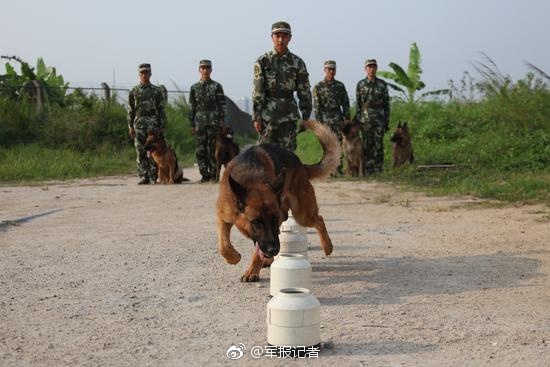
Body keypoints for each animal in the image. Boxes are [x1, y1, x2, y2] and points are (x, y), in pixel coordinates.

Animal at [216, 120, 340, 282]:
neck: (251, 179)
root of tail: (300, 164)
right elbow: (223, 246)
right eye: (256, 222)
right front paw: (234, 257)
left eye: (274, 218)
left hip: (302, 214)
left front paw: (252, 271)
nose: (273, 250)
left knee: (319, 220)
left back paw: (327, 246)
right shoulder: (223, 218)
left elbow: (256, 253)